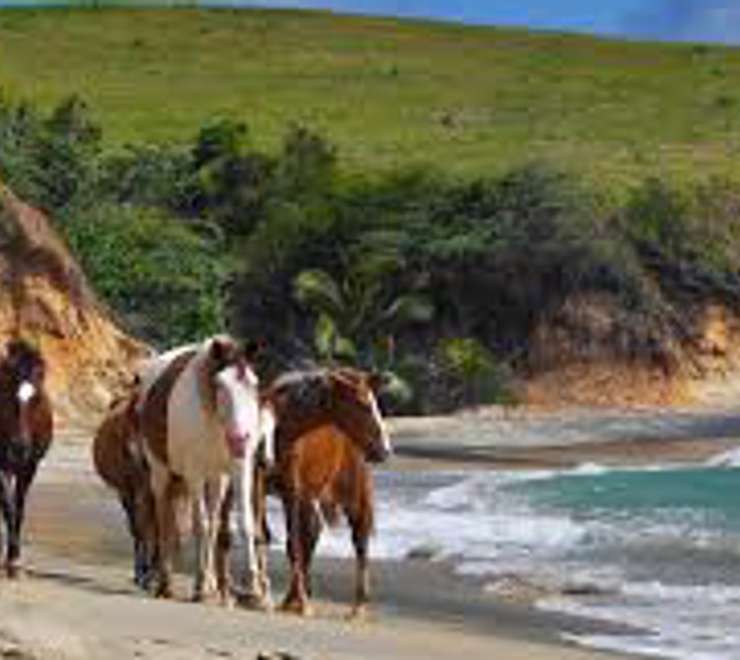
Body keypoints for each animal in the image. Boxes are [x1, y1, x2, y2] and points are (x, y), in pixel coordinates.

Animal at [138, 335, 273, 606]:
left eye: (253, 384)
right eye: (220, 385)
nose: (240, 440)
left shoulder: (238, 468)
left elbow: (242, 522)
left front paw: (253, 588)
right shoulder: (194, 473)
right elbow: (201, 524)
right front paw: (200, 585)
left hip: (216, 478)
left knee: (210, 519)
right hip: (160, 471)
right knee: (163, 517)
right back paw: (164, 582)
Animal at [227, 367, 391, 617]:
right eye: (363, 404)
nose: (384, 449)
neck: (283, 427)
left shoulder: (291, 489)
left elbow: (293, 544)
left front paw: (300, 601)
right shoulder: (259, 484)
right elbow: (261, 536)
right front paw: (259, 594)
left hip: (351, 491)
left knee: (359, 537)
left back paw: (358, 604)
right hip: (310, 494)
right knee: (314, 531)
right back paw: (293, 596)